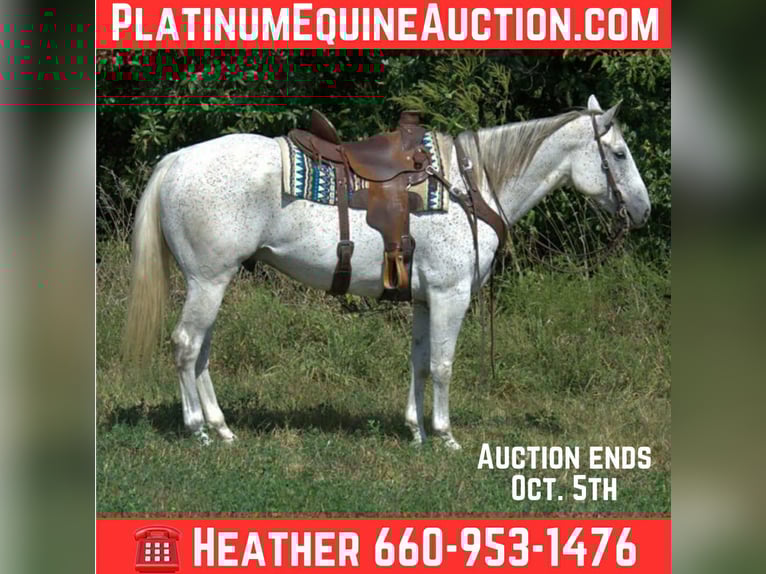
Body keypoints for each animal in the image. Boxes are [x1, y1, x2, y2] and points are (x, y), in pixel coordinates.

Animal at [123, 95, 651, 450]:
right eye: (619, 154)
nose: (644, 211)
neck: (473, 188)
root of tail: (176, 160)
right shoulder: (450, 294)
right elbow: (443, 364)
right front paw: (445, 436)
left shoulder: (424, 298)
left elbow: (419, 362)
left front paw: (416, 431)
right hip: (209, 281)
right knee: (186, 345)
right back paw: (197, 430)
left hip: (214, 280)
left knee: (201, 351)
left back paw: (221, 427)